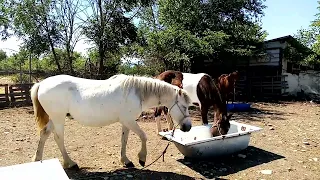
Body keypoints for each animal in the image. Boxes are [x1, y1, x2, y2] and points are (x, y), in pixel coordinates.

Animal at [31, 73, 192, 169]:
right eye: (184, 106)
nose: (188, 127)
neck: (137, 92)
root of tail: (42, 84)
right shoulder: (129, 120)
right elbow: (143, 136)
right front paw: (142, 158)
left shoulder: (126, 122)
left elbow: (124, 140)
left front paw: (126, 160)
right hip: (58, 118)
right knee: (59, 138)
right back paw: (70, 163)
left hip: (54, 118)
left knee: (44, 134)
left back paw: (37, 159)